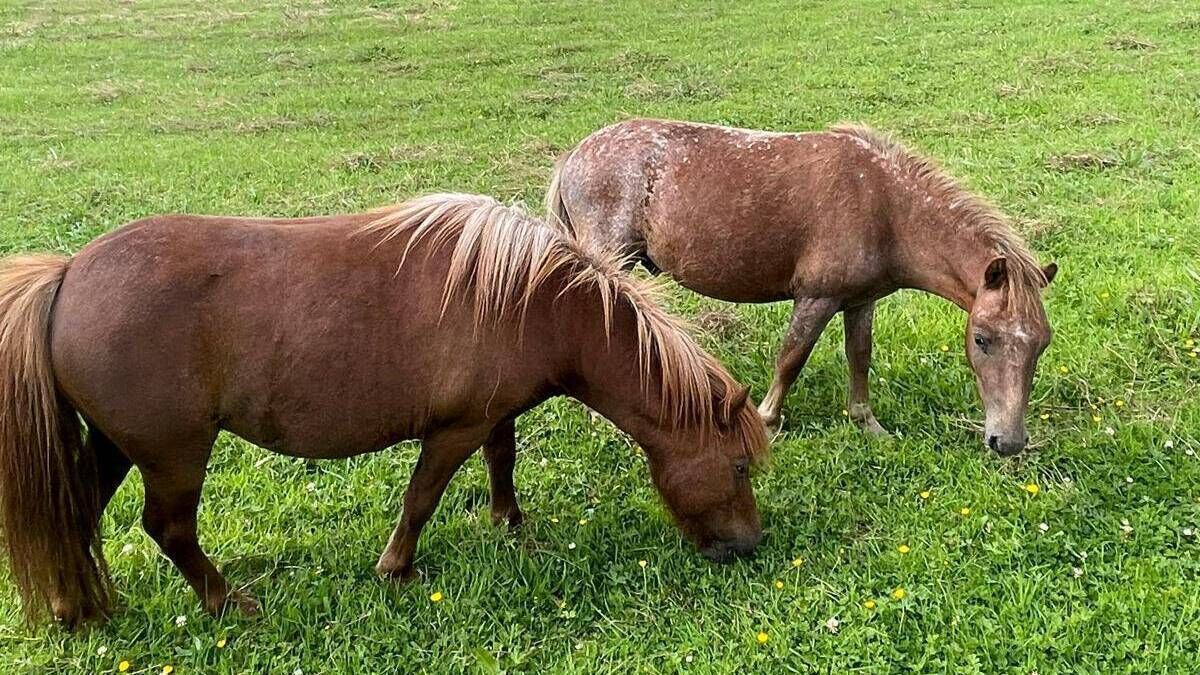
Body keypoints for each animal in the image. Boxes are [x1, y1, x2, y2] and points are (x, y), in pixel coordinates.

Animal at [0, 193, 769, 627]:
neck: (532, 300)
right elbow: (421, 497)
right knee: (169, 529)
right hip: (173, 454)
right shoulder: (453, 428)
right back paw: (228, 604)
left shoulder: (494, 414)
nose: (748, 546)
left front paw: (508, 521)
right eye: (737, 465)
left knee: (76, 514)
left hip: (113, 445)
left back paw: (73, 607)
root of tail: (67, 276)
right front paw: (396, 568)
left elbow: (503, 459)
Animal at [546, 119, 1057, 454]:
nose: (1008, 442)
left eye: (1041, 345)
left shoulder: (860, 302)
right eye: (982, 340)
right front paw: (766, 423)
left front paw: (867, 424)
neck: (885, 207)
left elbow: (860, 357)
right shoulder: (816, 298)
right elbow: (791, 359)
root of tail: (575, 155)